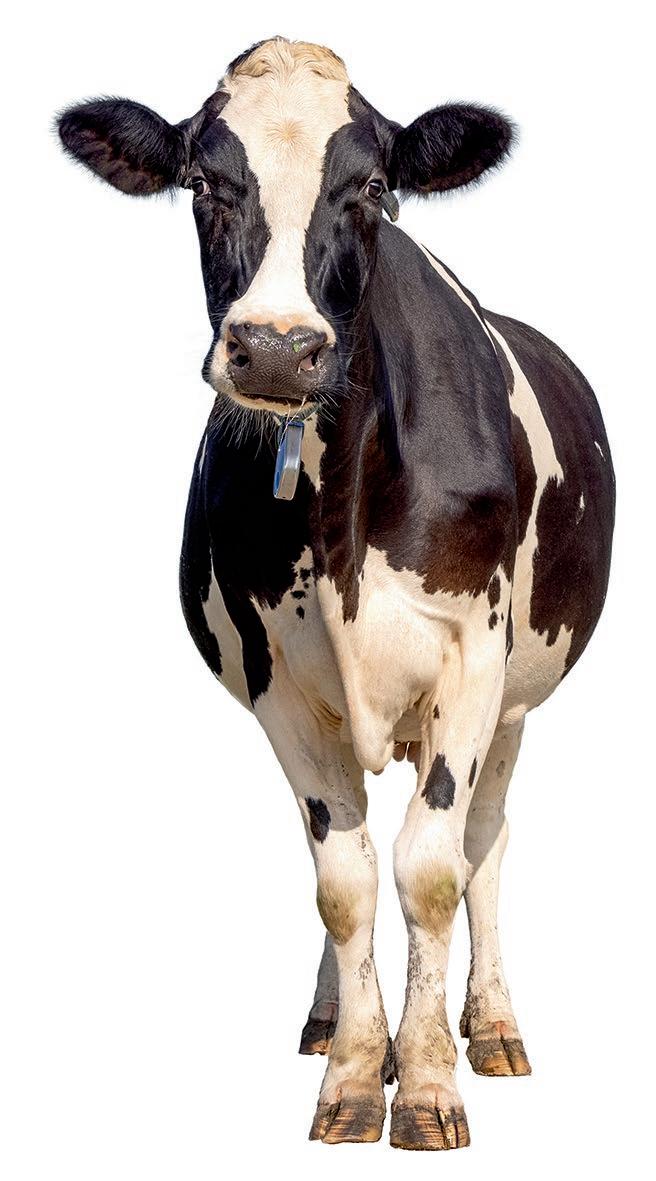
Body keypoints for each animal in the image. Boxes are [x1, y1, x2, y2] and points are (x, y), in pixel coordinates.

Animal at [57, 36, 615, 1151]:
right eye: (203, 184)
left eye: (369, 189)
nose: (276, 347)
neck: (344, 502)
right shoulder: (280, 682)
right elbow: (346, 877)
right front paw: (359, 1074)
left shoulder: (471, 663)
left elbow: (434, 868)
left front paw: (432, 1082)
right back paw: (332, 1018)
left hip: (517, 702)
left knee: (486, 842)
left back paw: (489, 1023)